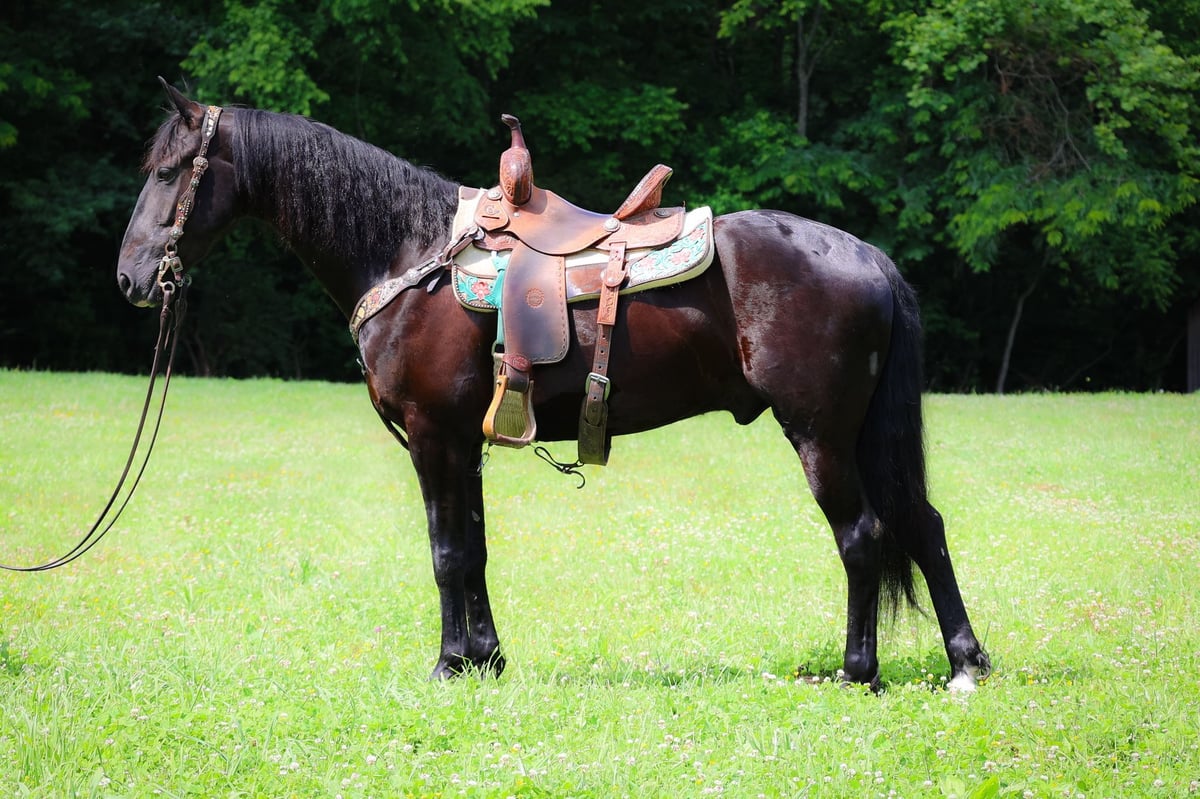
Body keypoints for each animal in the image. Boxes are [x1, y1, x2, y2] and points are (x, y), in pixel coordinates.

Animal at [116, 81, 991, 691]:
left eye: (170, 171)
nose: (130, 277)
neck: (409, 253)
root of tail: (867, 256)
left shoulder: (434, 436)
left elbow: (445, 551)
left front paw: (447, 665)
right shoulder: (463, 442)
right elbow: (472, 548)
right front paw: (485, 658)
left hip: (819, 433)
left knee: (864, 536)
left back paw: (858, 670)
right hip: (863, 433)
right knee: (923, 524)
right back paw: (965, 663)